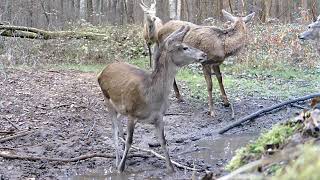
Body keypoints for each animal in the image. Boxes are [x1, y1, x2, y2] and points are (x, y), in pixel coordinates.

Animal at [97, 25, 208, 173]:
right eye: (184, 47)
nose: (204, 54)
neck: (151, 97)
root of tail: (102, 72)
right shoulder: (132, 113)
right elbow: (130, 141)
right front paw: (121, 168)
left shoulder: (159, 116)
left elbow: (163, 141)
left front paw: (171, 168)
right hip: (107, 99)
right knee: (113, 130)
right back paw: (117, 160)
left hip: (120, 107)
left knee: (119, 123)